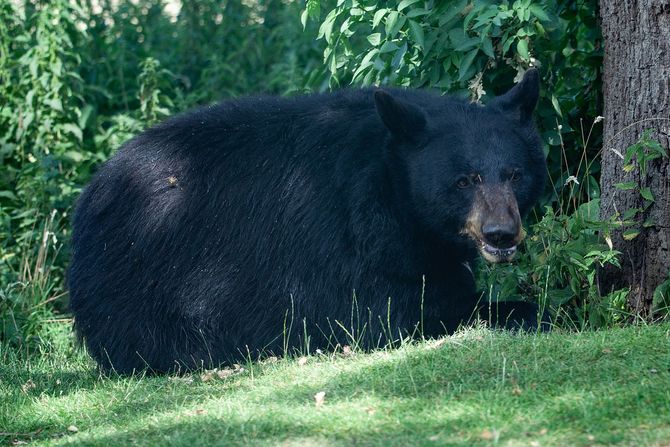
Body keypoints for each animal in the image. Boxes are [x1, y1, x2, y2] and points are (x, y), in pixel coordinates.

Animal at [69, 69, 544, 374]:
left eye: (515, 174)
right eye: (464, 180)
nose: (501, 234)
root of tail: (92, 194)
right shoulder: (350, 240)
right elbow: (396, 312)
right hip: (148, 274)